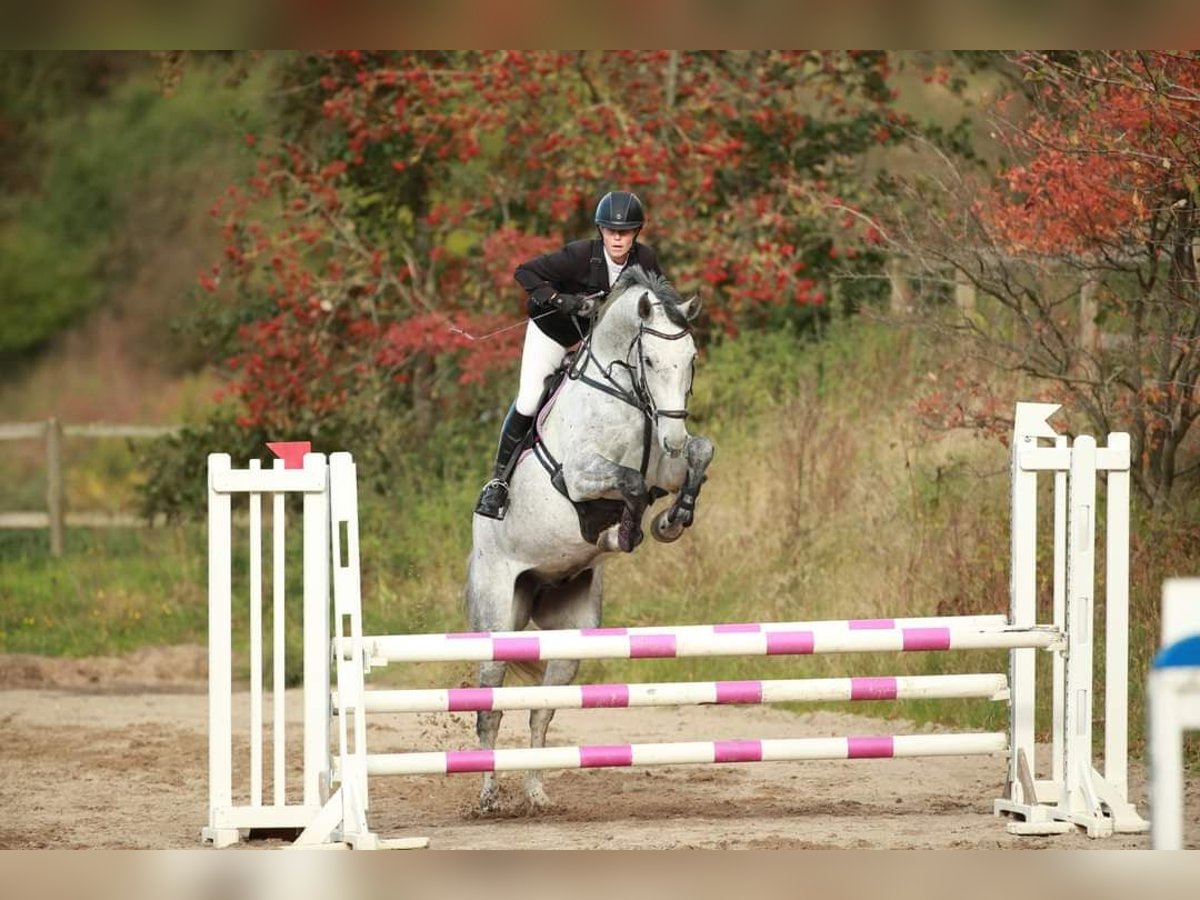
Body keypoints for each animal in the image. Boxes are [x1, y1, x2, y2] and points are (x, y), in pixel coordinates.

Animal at [463, 264, 710, 816]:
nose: (672, 437)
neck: (624, 394)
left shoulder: (666, 466)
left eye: (691, 361)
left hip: (570, 633)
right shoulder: (579, 476)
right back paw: (488, 798)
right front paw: (626, 530)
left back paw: (536, 794)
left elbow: (700, 455)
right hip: (497, 618)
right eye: (650, 359)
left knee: (541, 712)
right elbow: (630, 485)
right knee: (490, 711)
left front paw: (673, 519)